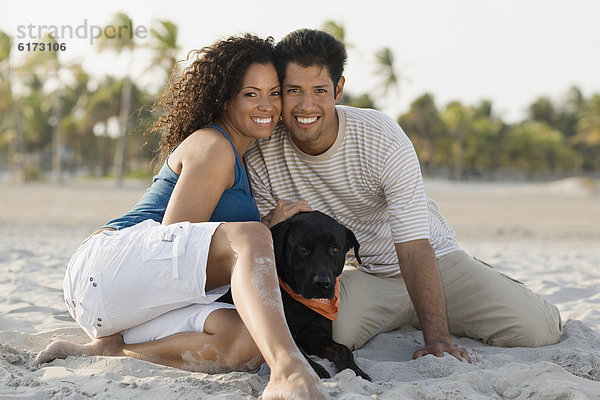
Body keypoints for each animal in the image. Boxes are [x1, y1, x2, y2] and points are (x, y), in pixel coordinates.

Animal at [268, 211, 370, 380]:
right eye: (301, 248)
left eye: (335, 249)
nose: (322, 283)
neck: (301, 305)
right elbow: (297, 353)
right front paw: (315, 370)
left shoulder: (314, 333)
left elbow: (343, 349)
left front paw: (356, 371)